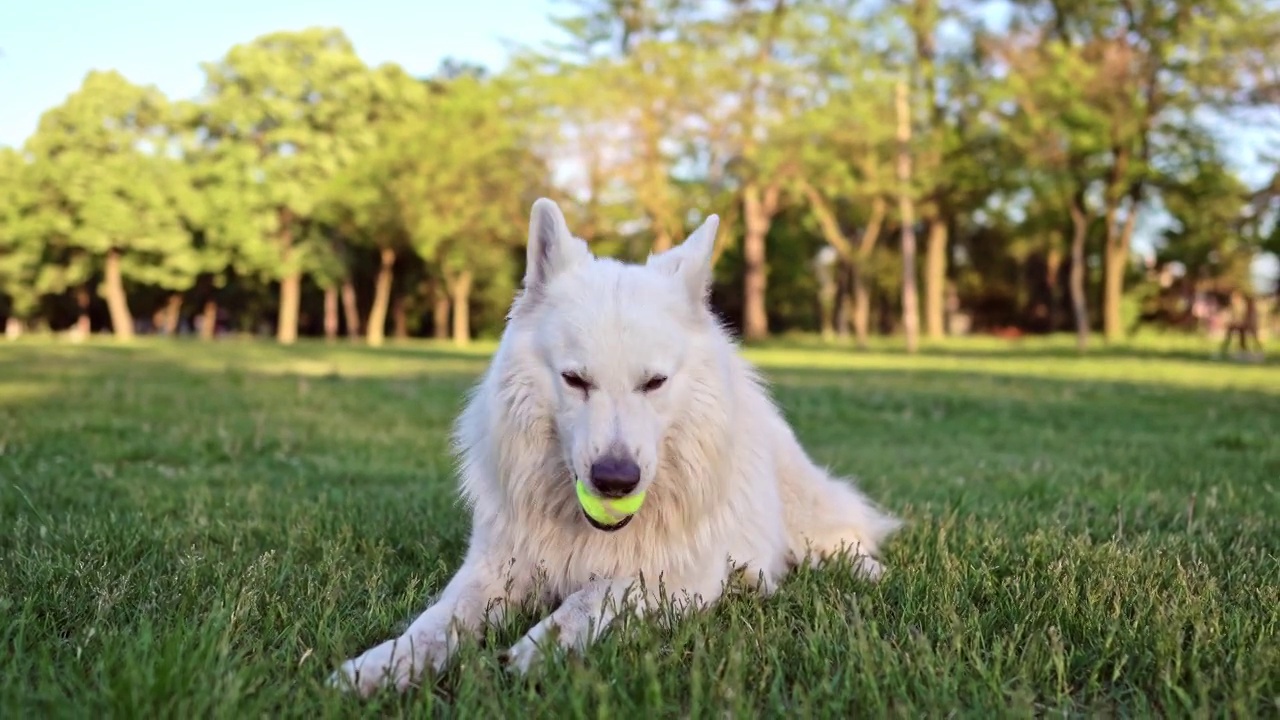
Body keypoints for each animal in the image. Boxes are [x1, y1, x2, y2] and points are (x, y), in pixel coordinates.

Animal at [335, 198, 906, 691]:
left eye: (653, 382)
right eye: (575, 379)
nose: (614, 480)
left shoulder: (680, 577)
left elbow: (594, 594)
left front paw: (540, 648)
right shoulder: (493, 568)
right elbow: (436, 623)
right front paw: (382, 666)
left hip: (805, 513)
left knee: (845, 536)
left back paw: (866, 572)